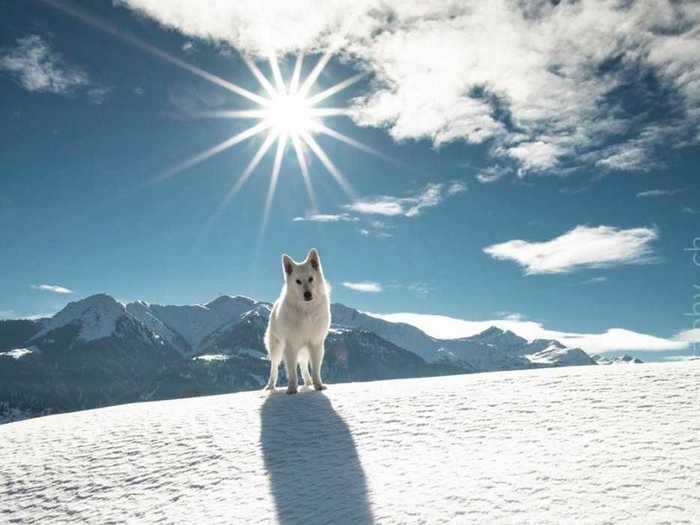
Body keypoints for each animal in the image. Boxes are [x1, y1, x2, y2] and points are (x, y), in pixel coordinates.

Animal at [266, 247, 330, 392]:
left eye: (311, 279)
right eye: (298, 281)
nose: (307, 294)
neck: (306, 311)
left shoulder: (315, 343)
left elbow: (315, 369)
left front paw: (318, 385)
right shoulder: (290, 346)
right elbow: (291, 372)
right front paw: (291, 390)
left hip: (304, 349)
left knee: (303, 365)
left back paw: (309, 382)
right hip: (276, 348)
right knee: (274, 367)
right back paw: (270, 386)